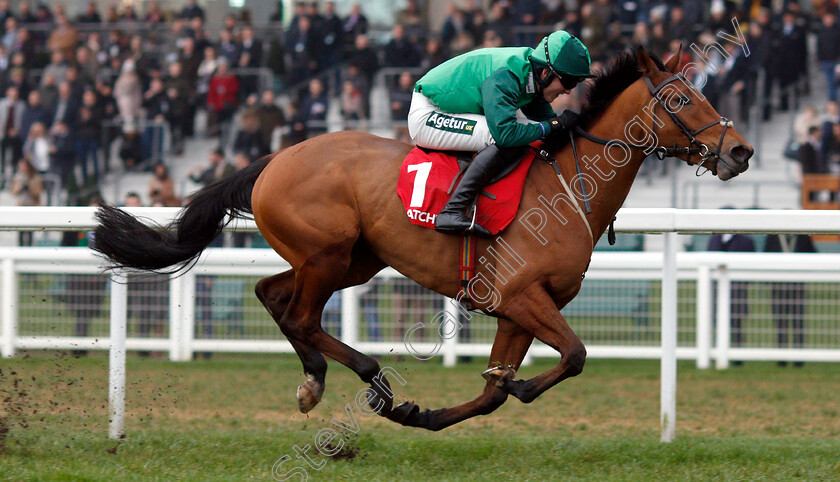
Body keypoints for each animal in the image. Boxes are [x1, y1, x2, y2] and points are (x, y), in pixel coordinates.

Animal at [93, 48, 756, 430]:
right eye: (681, 98)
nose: (741, 151)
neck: (570, 183)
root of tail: (274, 158)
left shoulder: (517, 309)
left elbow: (495, 392)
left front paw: (434, 411)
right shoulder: (520, 296)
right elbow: (574, 355)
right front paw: (513, 385)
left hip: (349, 259)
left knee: (272, 295)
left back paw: (317, 381)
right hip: (328, 253)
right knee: (301, 314)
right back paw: (374, 382)